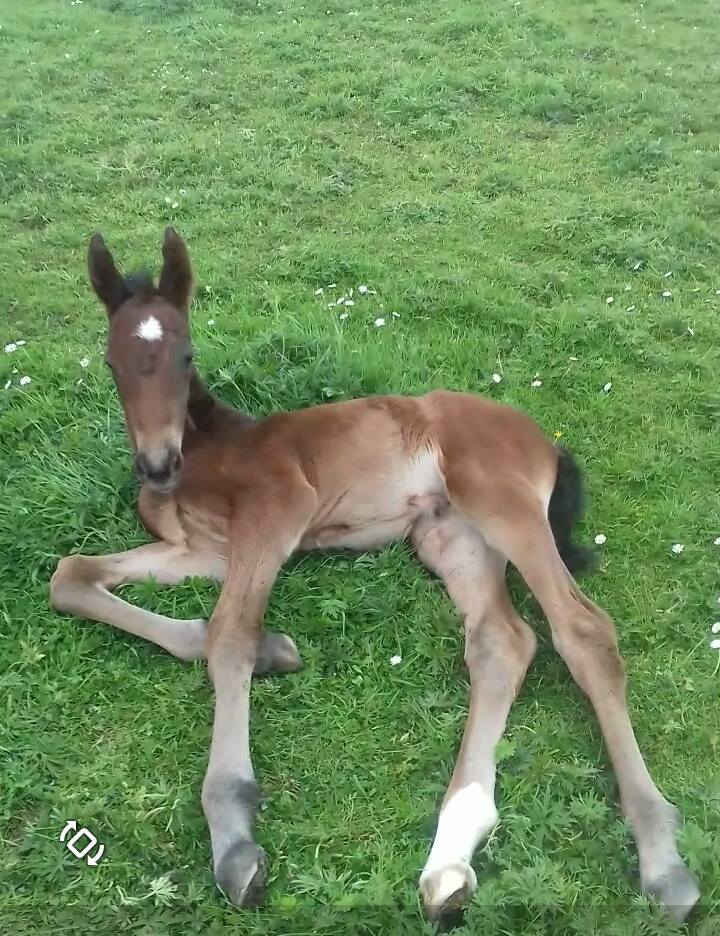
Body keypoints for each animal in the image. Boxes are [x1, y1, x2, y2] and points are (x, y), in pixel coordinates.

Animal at [52, 229, 704, 920]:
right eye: (112, 363)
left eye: (185, 355)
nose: (156, 466)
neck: (207, 452)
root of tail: (543, 438)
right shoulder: (200, 550)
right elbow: (71, 576)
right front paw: (268, 650)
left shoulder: (277, 510)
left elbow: (231, 632)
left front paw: (233, 835)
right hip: (449, 533)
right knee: (502, 640)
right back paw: (451, 857)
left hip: (497, 497)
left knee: (581, 629)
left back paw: (662, 860)